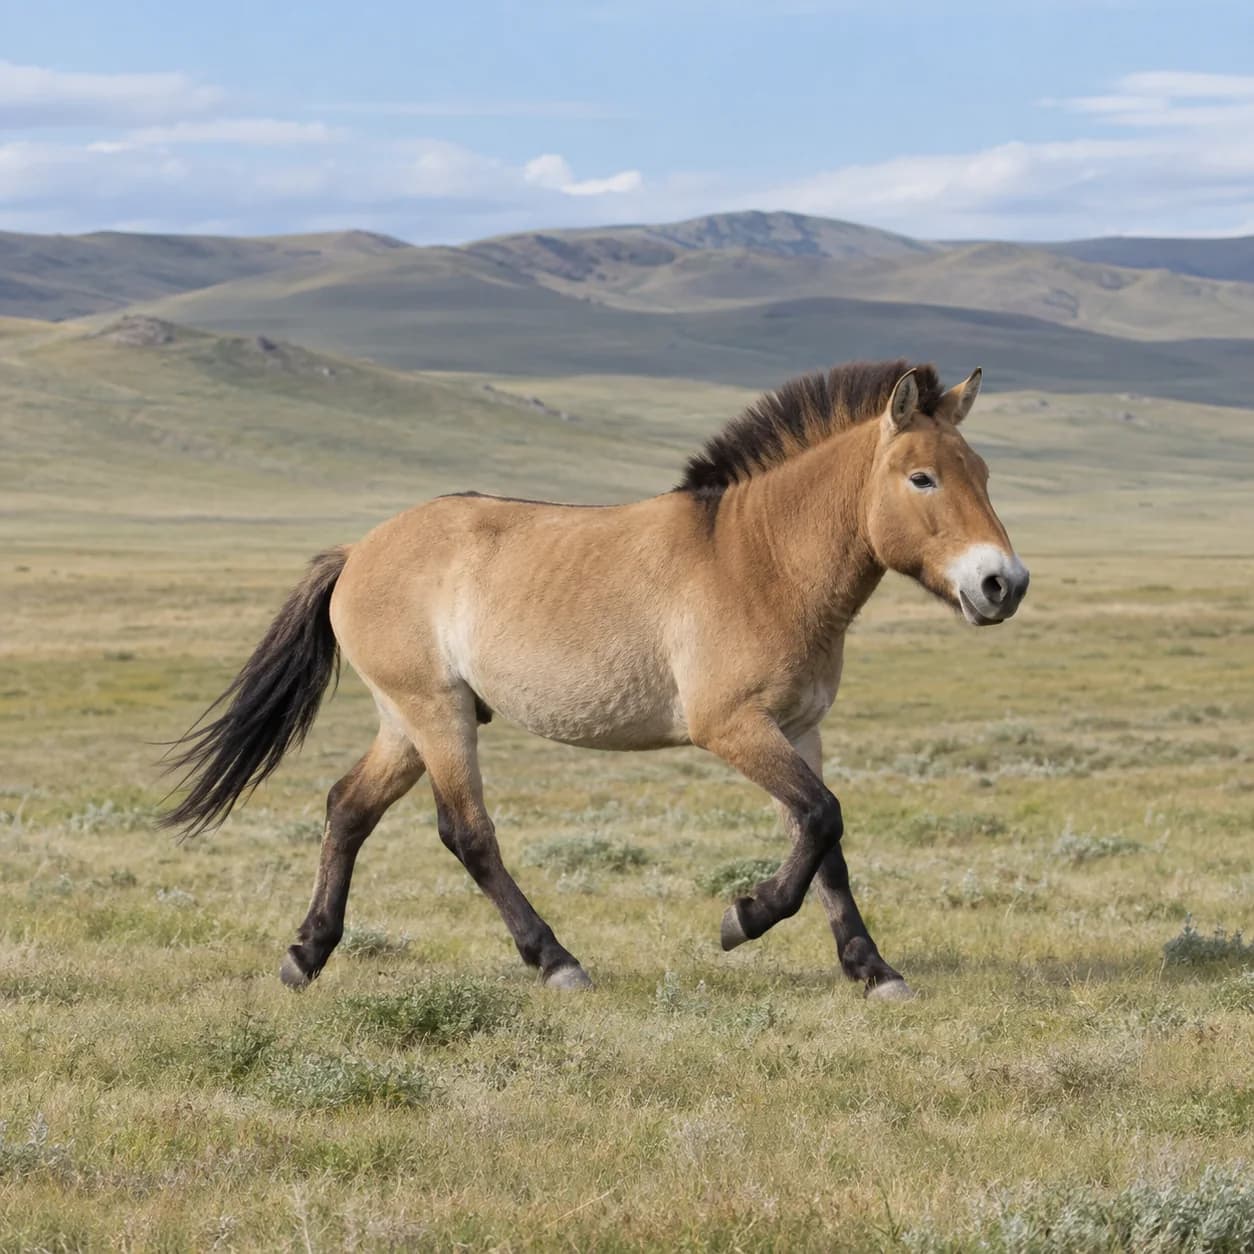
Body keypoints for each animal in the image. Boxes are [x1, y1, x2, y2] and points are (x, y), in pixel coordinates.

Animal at [163, 359, 1029, 1001]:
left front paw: (872, 969)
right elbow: (820, 820)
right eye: (922, 479)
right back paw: (557, 962)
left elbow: (825, 843)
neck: (760, 558)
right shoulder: (732, 727)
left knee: (347, 809)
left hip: (407, 724)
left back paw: (306, 955)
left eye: (984, 473)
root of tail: (357, 552)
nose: (1003, 584)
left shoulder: (801, 728)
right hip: (435, 713)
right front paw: (744, 918)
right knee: (466, 833)